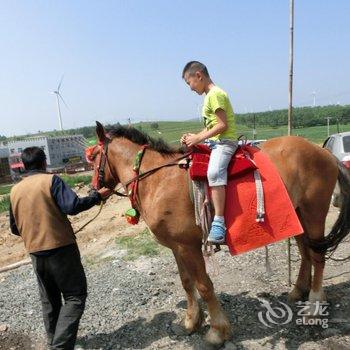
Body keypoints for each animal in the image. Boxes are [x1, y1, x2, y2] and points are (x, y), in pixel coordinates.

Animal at [89, 121, 350, 346]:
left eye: (92, 157)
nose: (94, 191)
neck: (159, 179)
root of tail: (323, 152)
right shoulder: (177, 247)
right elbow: (186, 282)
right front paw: (191, 320)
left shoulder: (189, 246)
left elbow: (204, 285)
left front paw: (217, 330)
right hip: (297, 216)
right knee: (306, 253)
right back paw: (299, 291)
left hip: (313, 213)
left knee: (317, 256)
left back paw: (314, 305)